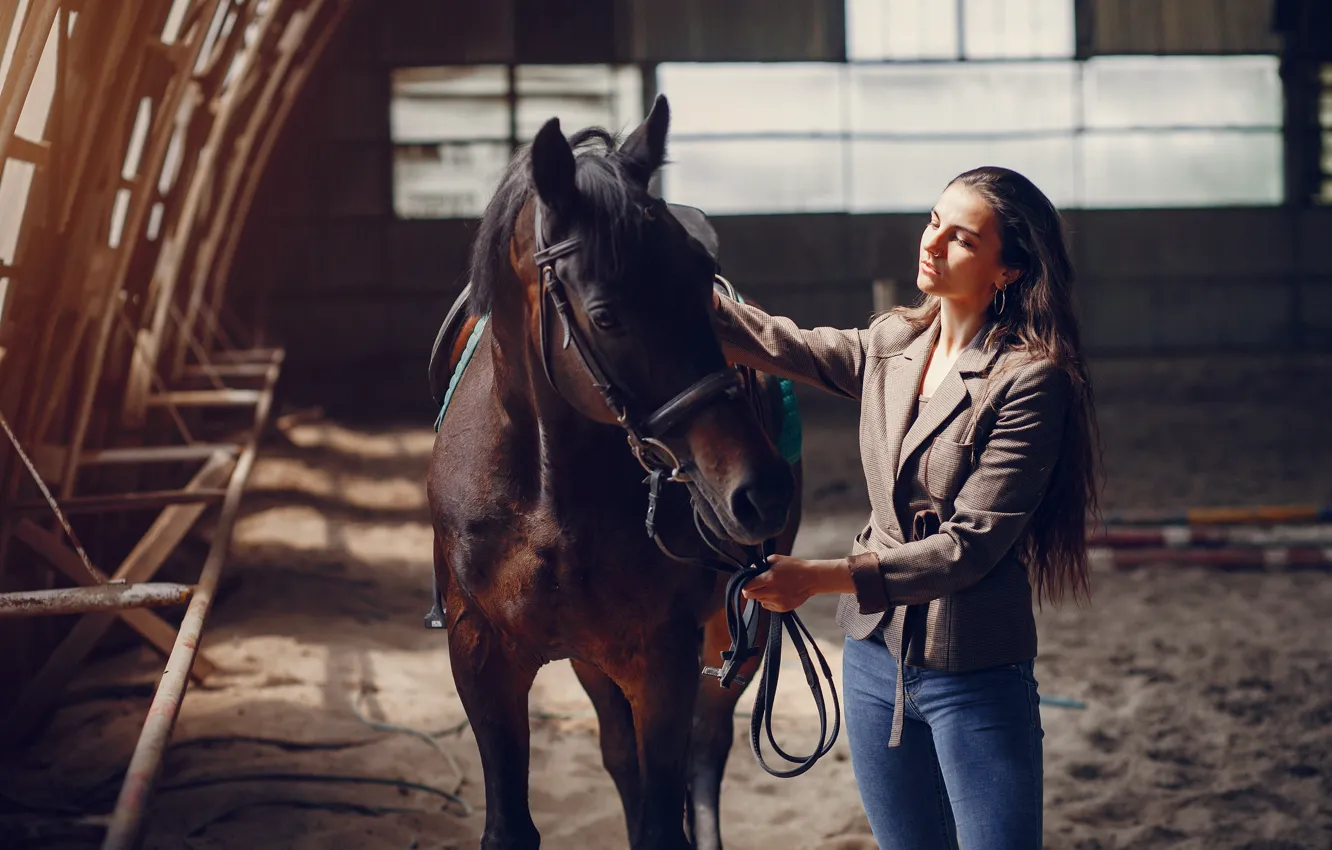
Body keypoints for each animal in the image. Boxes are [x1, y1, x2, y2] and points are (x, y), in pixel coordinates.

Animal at [426, 95, 805, 850]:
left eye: (701, 286)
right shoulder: (480, 655)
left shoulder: (664, 656)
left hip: (731, 641)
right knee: (621, 755)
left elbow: (666, 815)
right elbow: (515, 823)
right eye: (605, 316)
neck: (546, 494)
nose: (761, 491)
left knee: (706, 751)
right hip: (593, 659)